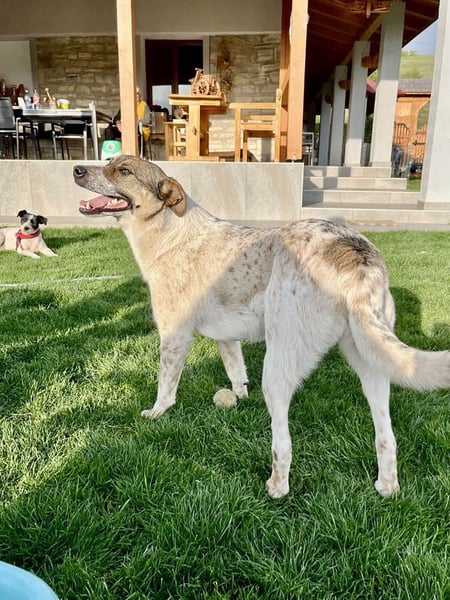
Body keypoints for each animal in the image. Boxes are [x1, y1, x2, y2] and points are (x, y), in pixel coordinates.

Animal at [73, 156, 450, 499]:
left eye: (123, 170)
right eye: (109, 161)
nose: (76, 169)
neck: (169, 232)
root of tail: (350, 248)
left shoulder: (174, 336)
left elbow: (166, 387)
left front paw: (157, 413)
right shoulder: (227, 339)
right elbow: (236, 372)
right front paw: (238, 398)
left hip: (278, 366)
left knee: (283, 443)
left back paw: (276, 488)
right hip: (371, 364)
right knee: (387, 438)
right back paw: (386, 488)